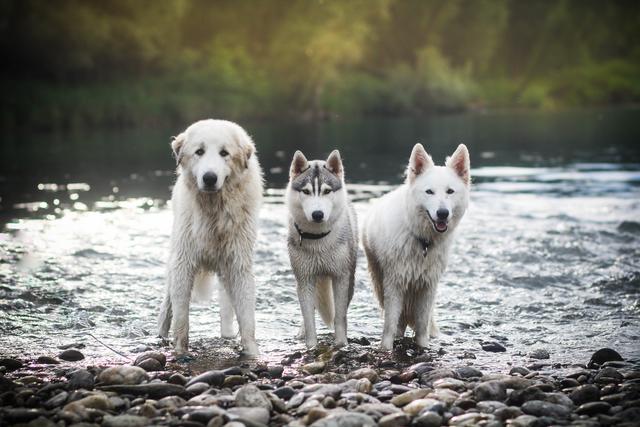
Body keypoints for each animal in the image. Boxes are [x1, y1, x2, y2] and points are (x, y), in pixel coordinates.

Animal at [158, 118, 262, 356]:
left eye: (224, 153)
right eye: (199, 151)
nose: (209, 178)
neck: (214, 212)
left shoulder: (239, 264)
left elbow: (247, 316)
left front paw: (252, 353)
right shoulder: (183, 263)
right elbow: (181, 317)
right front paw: (180, 351)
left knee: (227, 307)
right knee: (167, 305)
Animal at [364, 144, 470, 352]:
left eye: (450, 191)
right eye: (429, 192)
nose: (443, 213)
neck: (423, 242)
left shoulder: (428, 286)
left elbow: (422, 324)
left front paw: (423, 347)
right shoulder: (395, 283)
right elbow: (390, 323)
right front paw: (385, 349)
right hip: (380, 282)